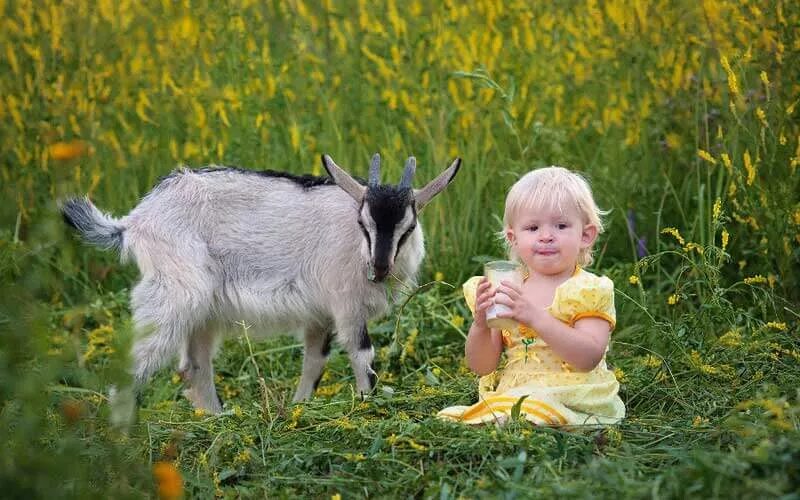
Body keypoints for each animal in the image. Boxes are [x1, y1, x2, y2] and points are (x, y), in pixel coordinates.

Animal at [61, 154, 462, 412]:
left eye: (409, 227)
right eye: (362, 222)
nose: (378, 268)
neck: (357, 244)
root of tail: (133, 222)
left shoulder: (320, 314)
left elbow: (315, 361)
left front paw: (300, 408)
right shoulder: (345, 304)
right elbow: (362, 354)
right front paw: (367, 405)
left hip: (202, 309)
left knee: (194, 364)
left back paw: (216, 418)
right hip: (173, 293)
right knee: (137, 362)